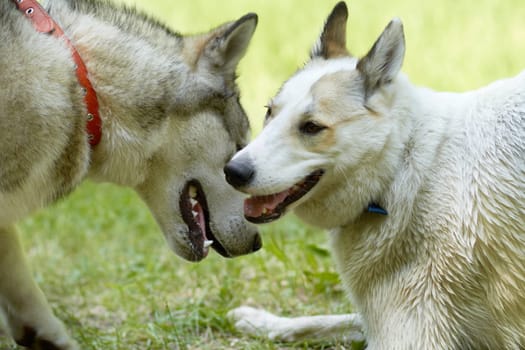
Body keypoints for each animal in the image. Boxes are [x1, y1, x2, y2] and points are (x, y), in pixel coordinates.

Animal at [224, 1, 524, 348]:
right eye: (269, 112)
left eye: (311, 127)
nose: (232, 172)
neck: (401, 168)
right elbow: (319, 322)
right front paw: (261, 321)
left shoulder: (406, 335)